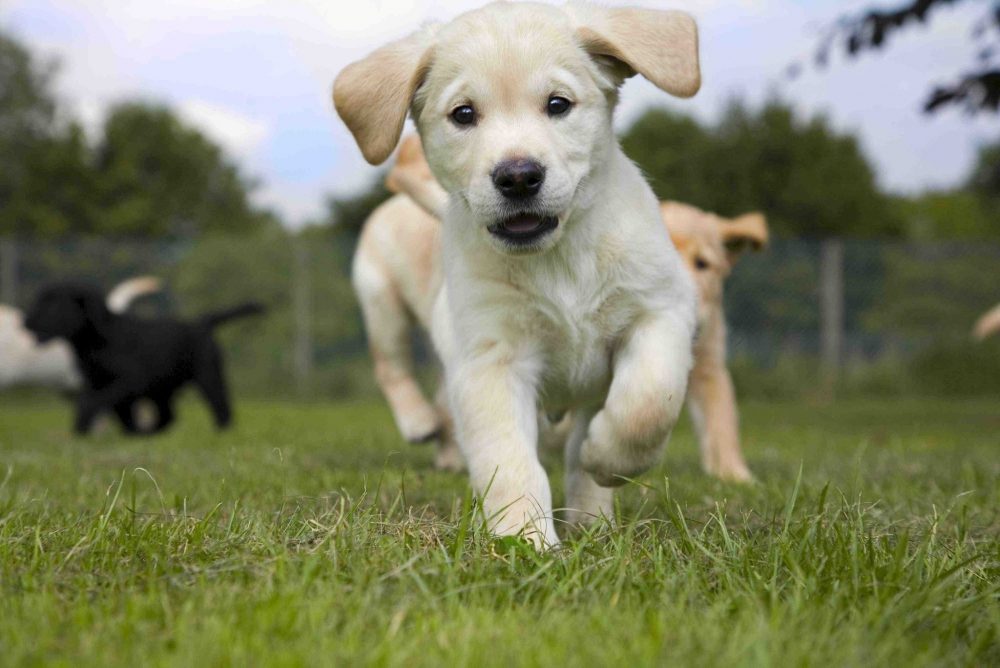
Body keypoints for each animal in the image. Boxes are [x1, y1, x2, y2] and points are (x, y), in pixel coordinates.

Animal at [23, 281, 263, 435]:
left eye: (52, 304)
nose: (26, 321)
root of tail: (202, 321)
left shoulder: (131, 380)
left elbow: (94, 401)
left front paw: (82, 427)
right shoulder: (97, 381)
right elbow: (111, 407)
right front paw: (127, 433)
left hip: (208, 376)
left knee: (221, 408)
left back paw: (221, 432)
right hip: (162, 389)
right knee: (168, 417)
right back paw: (150, 433)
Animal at [336, 2, 702, 546]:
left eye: (558, 104)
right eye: (464, 114)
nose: (518, 176)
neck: (557, 258)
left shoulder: (661, 309)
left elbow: (649, 402)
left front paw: (605, 459)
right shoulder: (492, 359)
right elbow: (509, 461)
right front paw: (523, 538)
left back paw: (592, 519)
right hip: (383, 303)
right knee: (392, 366)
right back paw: (420, 421)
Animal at [359, 135, 767, 483]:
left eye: (704, 264)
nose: (686, 298)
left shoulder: (705, 358)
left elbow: (716, 416)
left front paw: (734, 476)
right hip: (386, 304)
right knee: (391, 367)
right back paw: (420, 423)